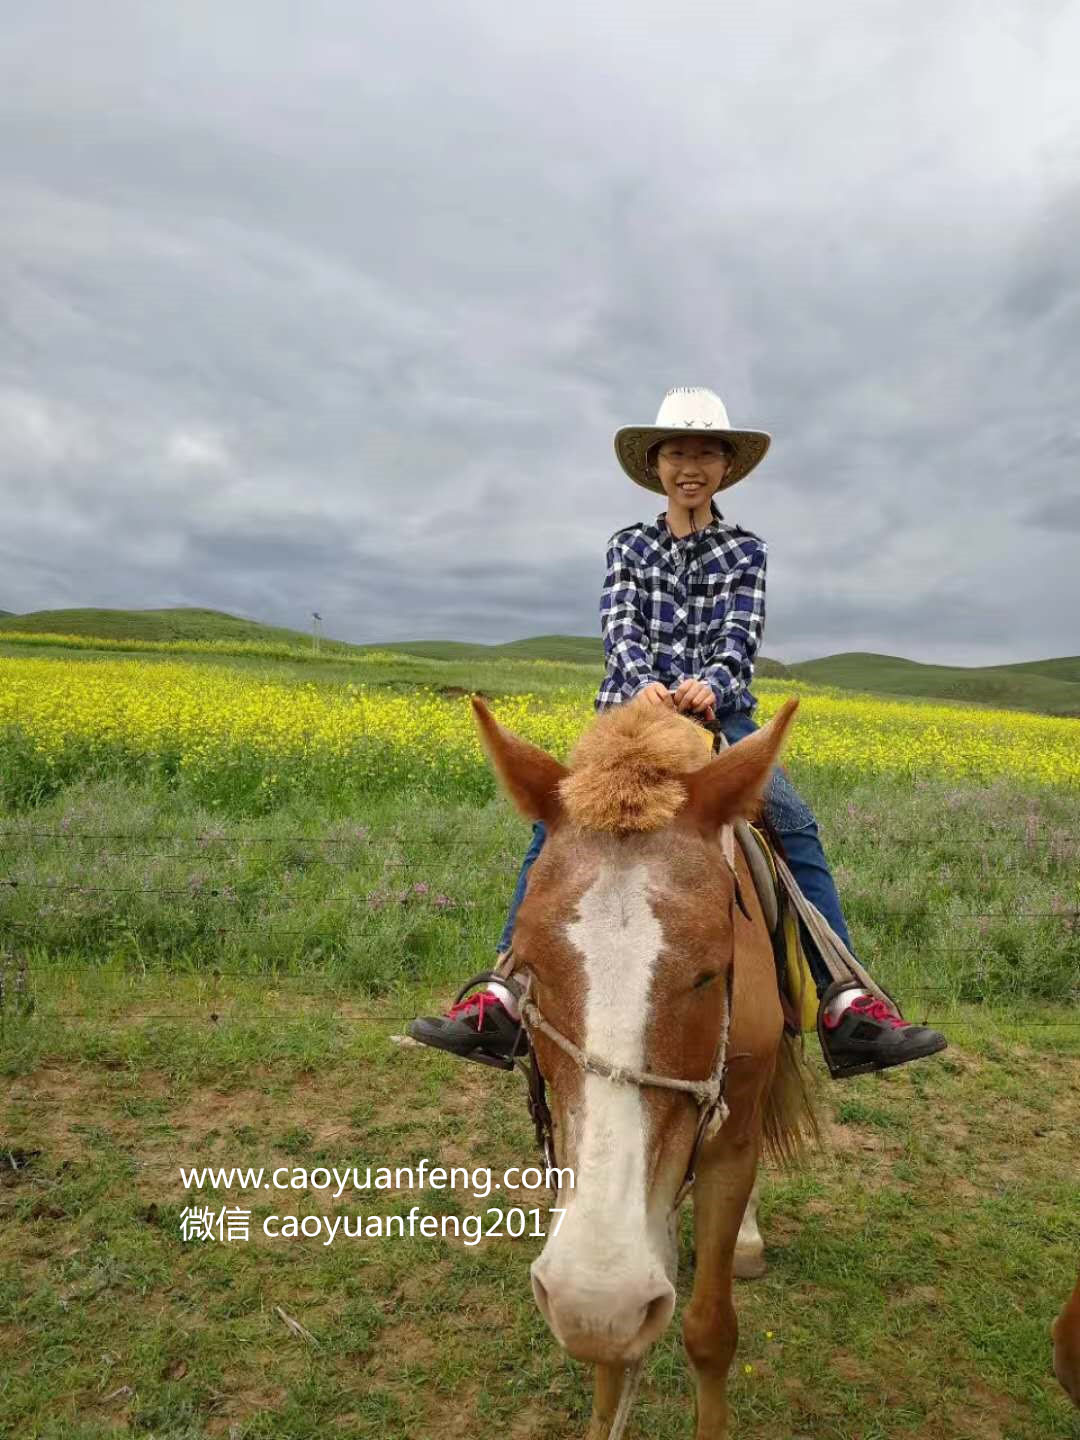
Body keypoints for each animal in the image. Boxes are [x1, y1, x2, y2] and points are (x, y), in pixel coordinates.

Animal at [472, 691, 817, 1434]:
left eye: (711, 973)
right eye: (530, 965)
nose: (598, 1294)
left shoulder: (730, 1148)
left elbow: (710, 1333)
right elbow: (610, 1358)